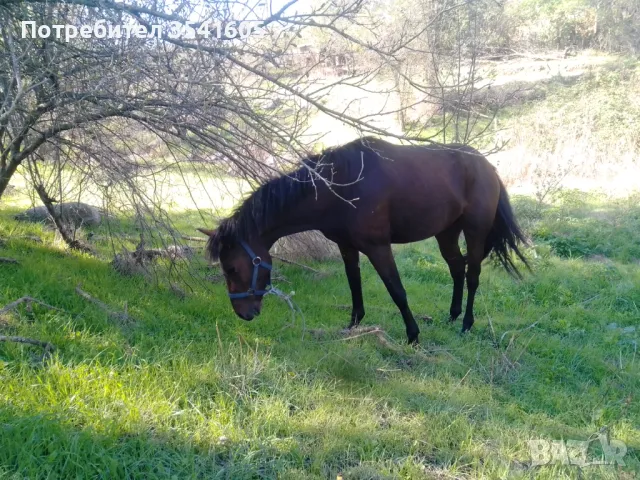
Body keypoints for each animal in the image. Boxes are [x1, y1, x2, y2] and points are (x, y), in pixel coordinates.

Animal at [198, 137, 528, 344]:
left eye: (232, 268)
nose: (244, 314)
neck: (340, 187)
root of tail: (488, 166)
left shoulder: (378, 248)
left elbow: (397, 291)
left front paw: (413, 335)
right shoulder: (347, 246)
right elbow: (354, 284)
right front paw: (353, 326)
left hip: (474, 232)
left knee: (472, 275)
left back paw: (466, 324)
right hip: (445, 233)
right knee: (457, 268)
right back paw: (452, 316)